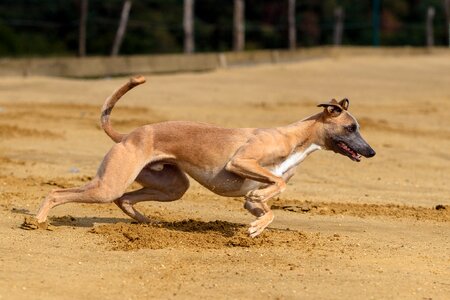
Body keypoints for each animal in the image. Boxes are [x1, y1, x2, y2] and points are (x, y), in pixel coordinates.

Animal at [35, 75, 374, 237]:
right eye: (351, 127)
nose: (370, 151)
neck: (297, 138)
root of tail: (127, 136)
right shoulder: (241, 162)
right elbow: (276, 184)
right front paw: (257, 220)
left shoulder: (252, 194)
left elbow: (266, 206)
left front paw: (256, 224)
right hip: (109, 184)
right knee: (57, 192)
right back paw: (37, 222)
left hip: (171, 186)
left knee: (126, 200)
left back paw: (148, 223)